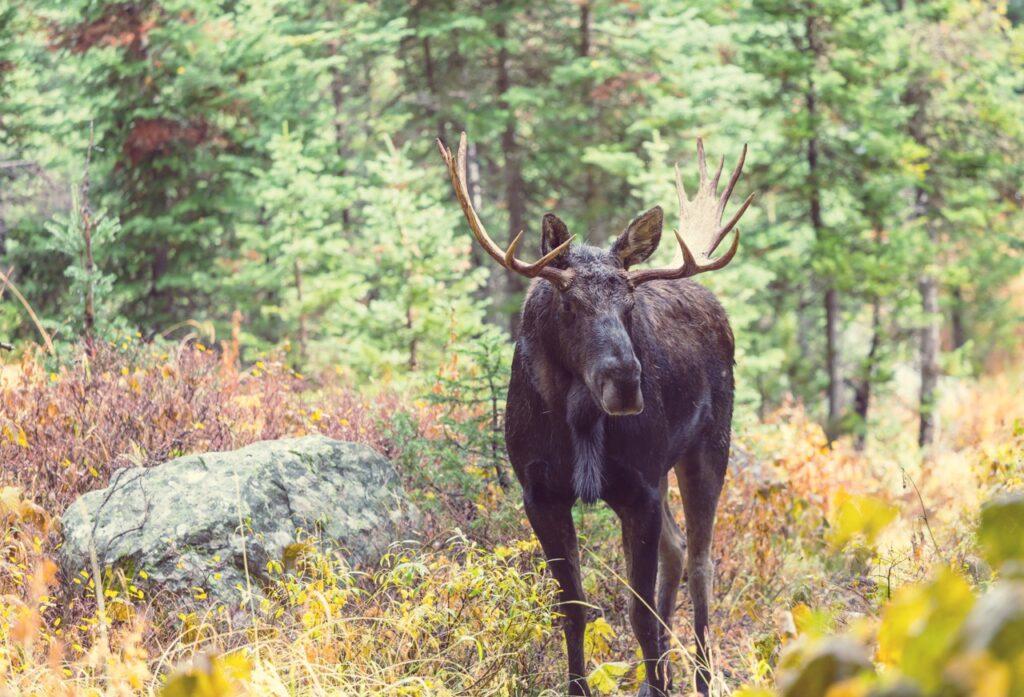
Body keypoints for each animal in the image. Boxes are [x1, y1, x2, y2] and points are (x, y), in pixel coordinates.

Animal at [436, 133, 757, 691]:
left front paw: (659, 684)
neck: (579, 423)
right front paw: (583, 685)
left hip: (708, 446)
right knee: (678, 548)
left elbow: (638, 613)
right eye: (569, 304)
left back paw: (700, 679)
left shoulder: (640, 488)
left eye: (629, 303)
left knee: (701, 562)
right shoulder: (540, 492)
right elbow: (575, 608)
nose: (626, 383)